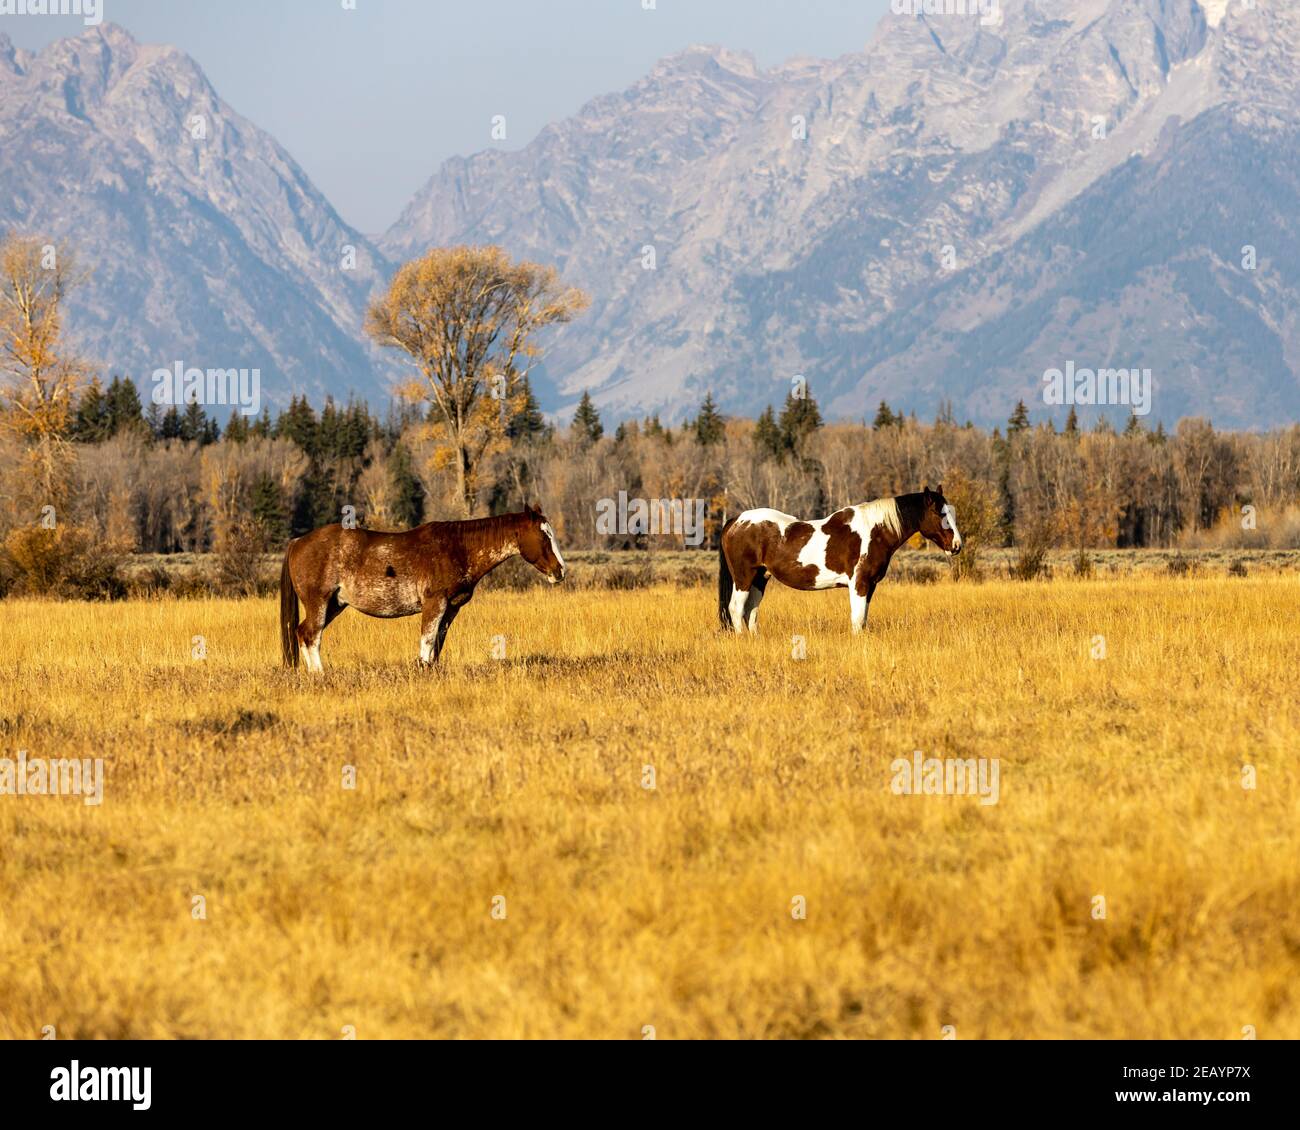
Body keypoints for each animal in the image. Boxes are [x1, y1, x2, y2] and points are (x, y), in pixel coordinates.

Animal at [282, 507, 566, 676]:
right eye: (544, 536)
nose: (560, 570)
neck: (458, 548)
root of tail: (297, 542)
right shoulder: (434, 603)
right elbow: (427, 641)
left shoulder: (451, 608)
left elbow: (437, 644)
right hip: (319, 602)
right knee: (310, 634)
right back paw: (319, 674)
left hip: (335, 604)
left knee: (303, 632)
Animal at [717, 486, 961, 634]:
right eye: (941, 514)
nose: (957, 546)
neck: (874, 531)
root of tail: (736, 521)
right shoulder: (859, 584)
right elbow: (857, 619)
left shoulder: (870, 586)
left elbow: (863, 619)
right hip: (744, 578)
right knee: (736, 609)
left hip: (760, 578)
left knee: (751, 612)